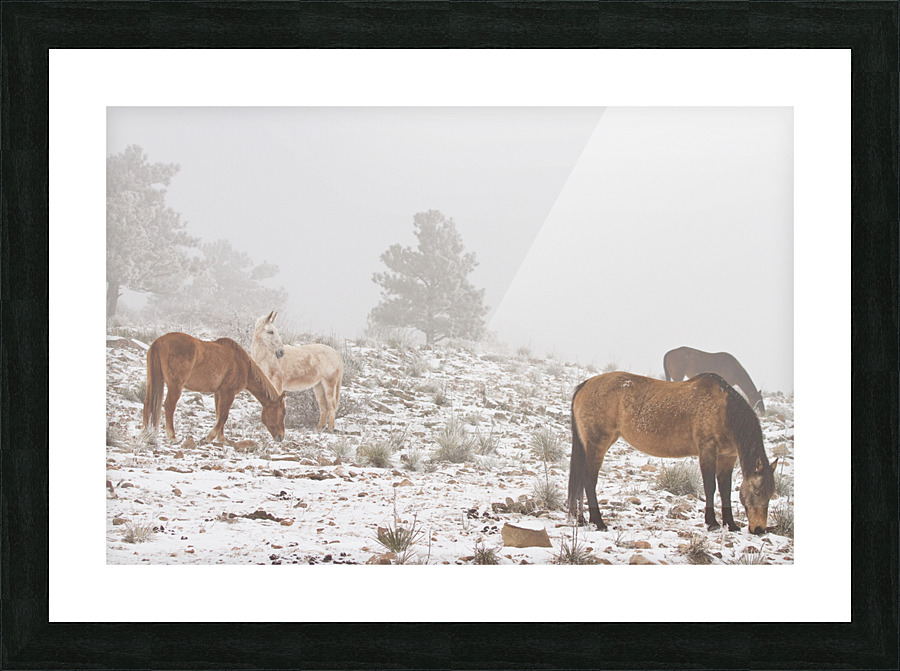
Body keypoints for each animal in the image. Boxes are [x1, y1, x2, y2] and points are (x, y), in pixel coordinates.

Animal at [142, 332, 286, 444]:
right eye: (283, 413)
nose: (281, 437)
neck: (242, 365)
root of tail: (159, 342)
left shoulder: (218, 393)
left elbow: (218, 414)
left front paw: (220, 438)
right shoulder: (228, 393)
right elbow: (223, 416)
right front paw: (210, 437)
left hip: (153, 381)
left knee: (147, 403)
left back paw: (145, 433)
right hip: (175, 386)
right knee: (169, 406)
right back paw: (172, 437)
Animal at [568, 372, 777, 535]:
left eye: (771, 494)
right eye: (757, 491)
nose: (759, 529)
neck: (724, 411)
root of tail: (585, 385)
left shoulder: (728, 457)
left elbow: (725, 490)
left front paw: (731, 524)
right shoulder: (707, 451)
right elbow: (710, 487)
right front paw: (713, 523)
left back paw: (581, 519)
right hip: (597, 444)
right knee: (589, 481)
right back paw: (599, 522)